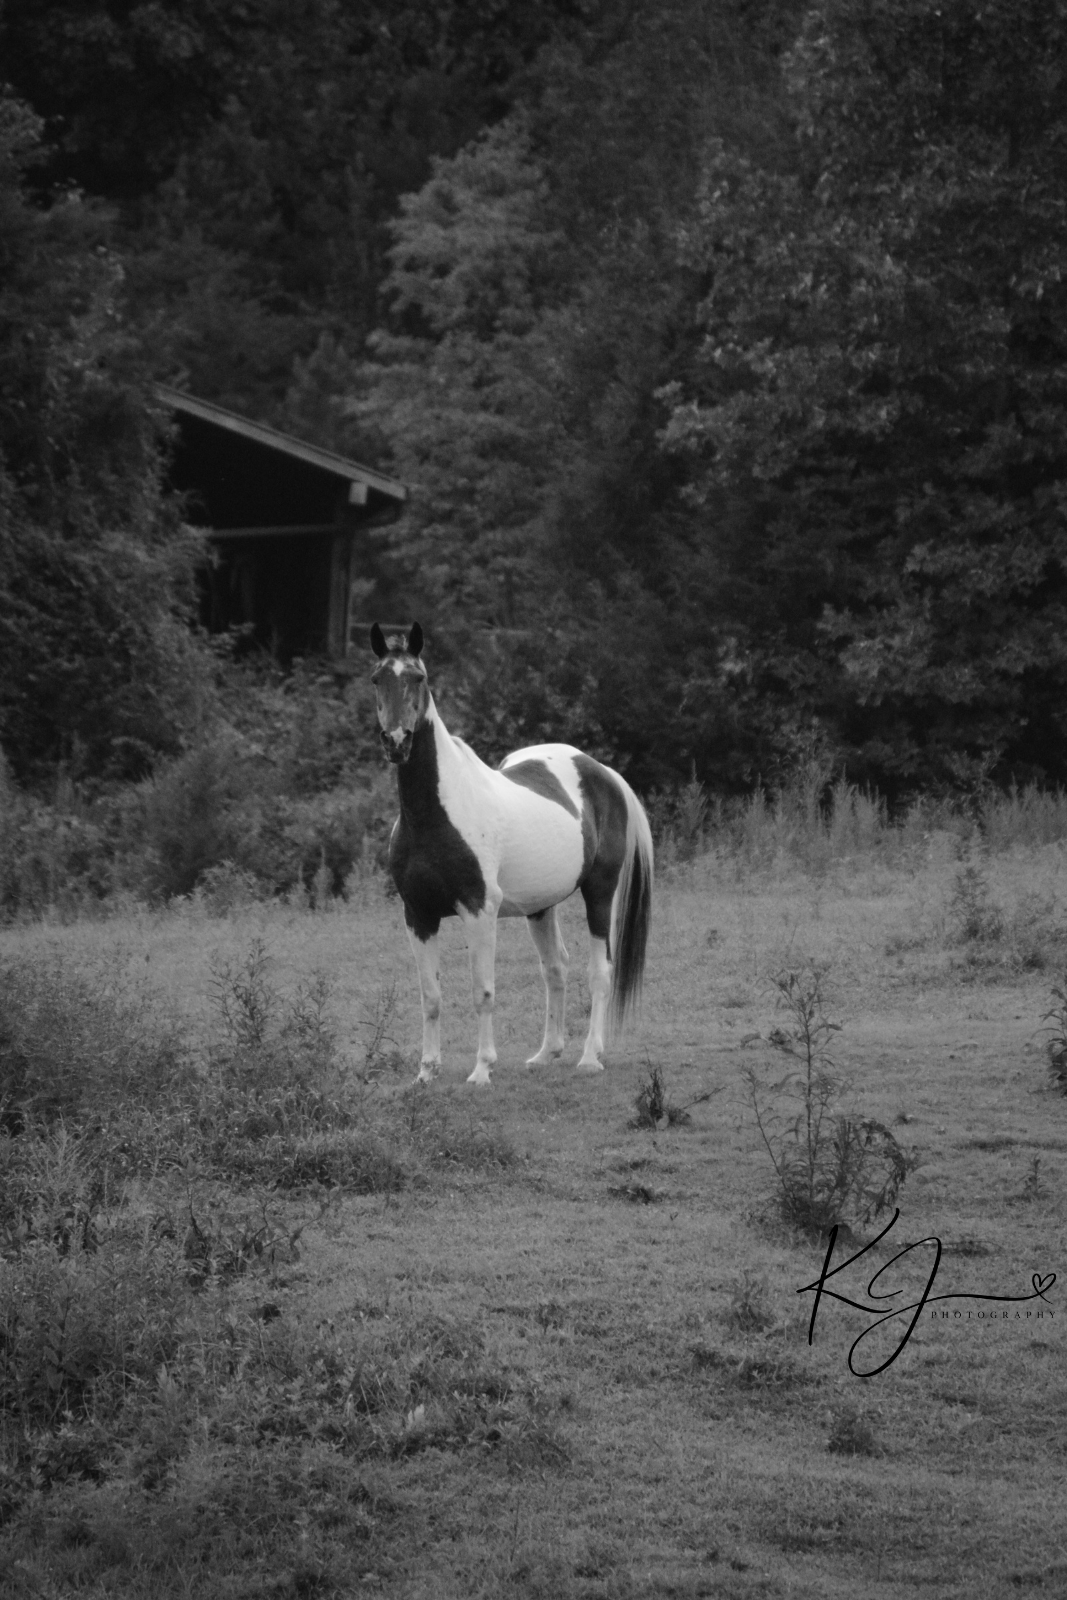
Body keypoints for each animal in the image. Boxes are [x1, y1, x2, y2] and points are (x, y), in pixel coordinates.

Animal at [370, 622, 653, 1086]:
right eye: (377, 678)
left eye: (418, 677)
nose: (397, 741)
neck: (435, 814)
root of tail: (603, 773)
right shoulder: (418, 915)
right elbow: (431, 995)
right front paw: (427, 1072)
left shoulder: (478, 910)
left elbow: (482, 991)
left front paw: (482, 1069)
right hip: (540, 907)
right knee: (555, 968)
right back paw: (546, 1054)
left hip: (599, 893)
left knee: (599, 972)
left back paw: (590, 1057)